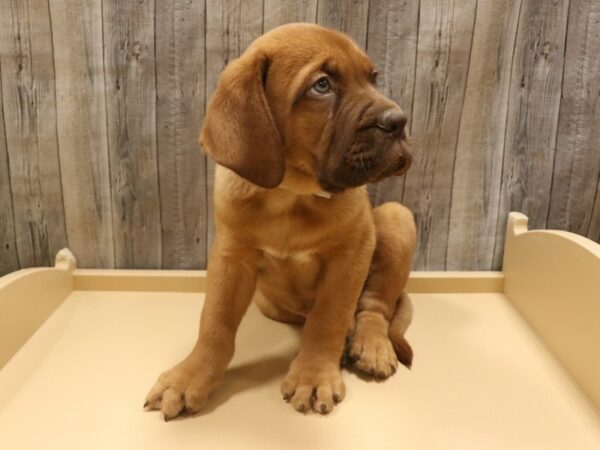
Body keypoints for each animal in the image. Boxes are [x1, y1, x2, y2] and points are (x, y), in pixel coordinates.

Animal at [146, 23, 418, 418]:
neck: (291, 195)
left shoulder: (352, 253)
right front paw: (190, 376)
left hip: (398, 218)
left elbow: (328, 318)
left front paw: (314, 375)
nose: (398, 122)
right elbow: (215, 322)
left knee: (375, 307)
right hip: (271, 304)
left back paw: (371, 344)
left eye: (373, 78)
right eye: (322, 85)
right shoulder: (232, 257)